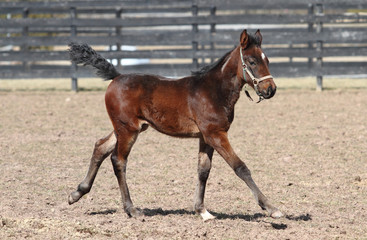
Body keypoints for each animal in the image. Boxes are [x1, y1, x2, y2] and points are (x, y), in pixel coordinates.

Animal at [67, 29, 284, 220]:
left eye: (267, 60)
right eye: (252, 61)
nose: (270, 89)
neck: (213, 91)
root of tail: (117, 76)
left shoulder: (205, 136)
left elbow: (203, 170)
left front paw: (202, 211)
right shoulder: (216, 134)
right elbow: (240, 167)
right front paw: (271, 208)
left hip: (128, 127)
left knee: (100, 146)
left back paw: (76, 193)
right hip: (128, 129)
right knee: (118, 160)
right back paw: (132, 209)